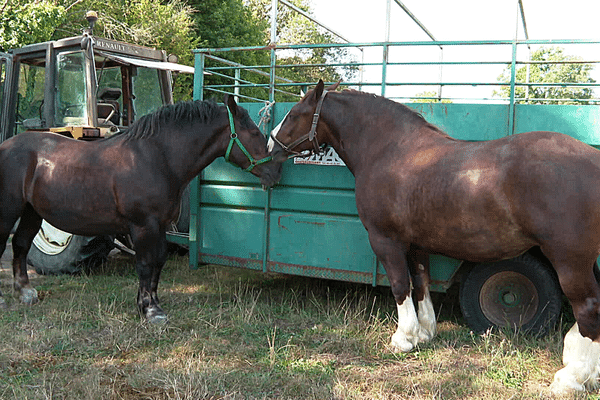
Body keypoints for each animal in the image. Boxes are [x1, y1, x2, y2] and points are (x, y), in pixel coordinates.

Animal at [0, 95, 282, 324]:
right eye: (254, 133)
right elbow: (146, 264)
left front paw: (151, 304)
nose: (276, 171)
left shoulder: (160, 226)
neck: (156, 157)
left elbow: (158, 262)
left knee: (21, 244)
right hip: (10, 210)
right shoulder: (143, 225)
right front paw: (150, 310)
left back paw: (25, 292)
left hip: (31, 211)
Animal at [270, 79, 600, 394]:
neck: (391, 150)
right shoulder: (416, 243)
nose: (271, 145)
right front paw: (425, 332)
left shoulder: (385, 240)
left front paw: (403, 338)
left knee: (588, 306)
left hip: (569, 260)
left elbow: (400, 284)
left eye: (294, 114)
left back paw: (571, 378)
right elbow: (421, 282)